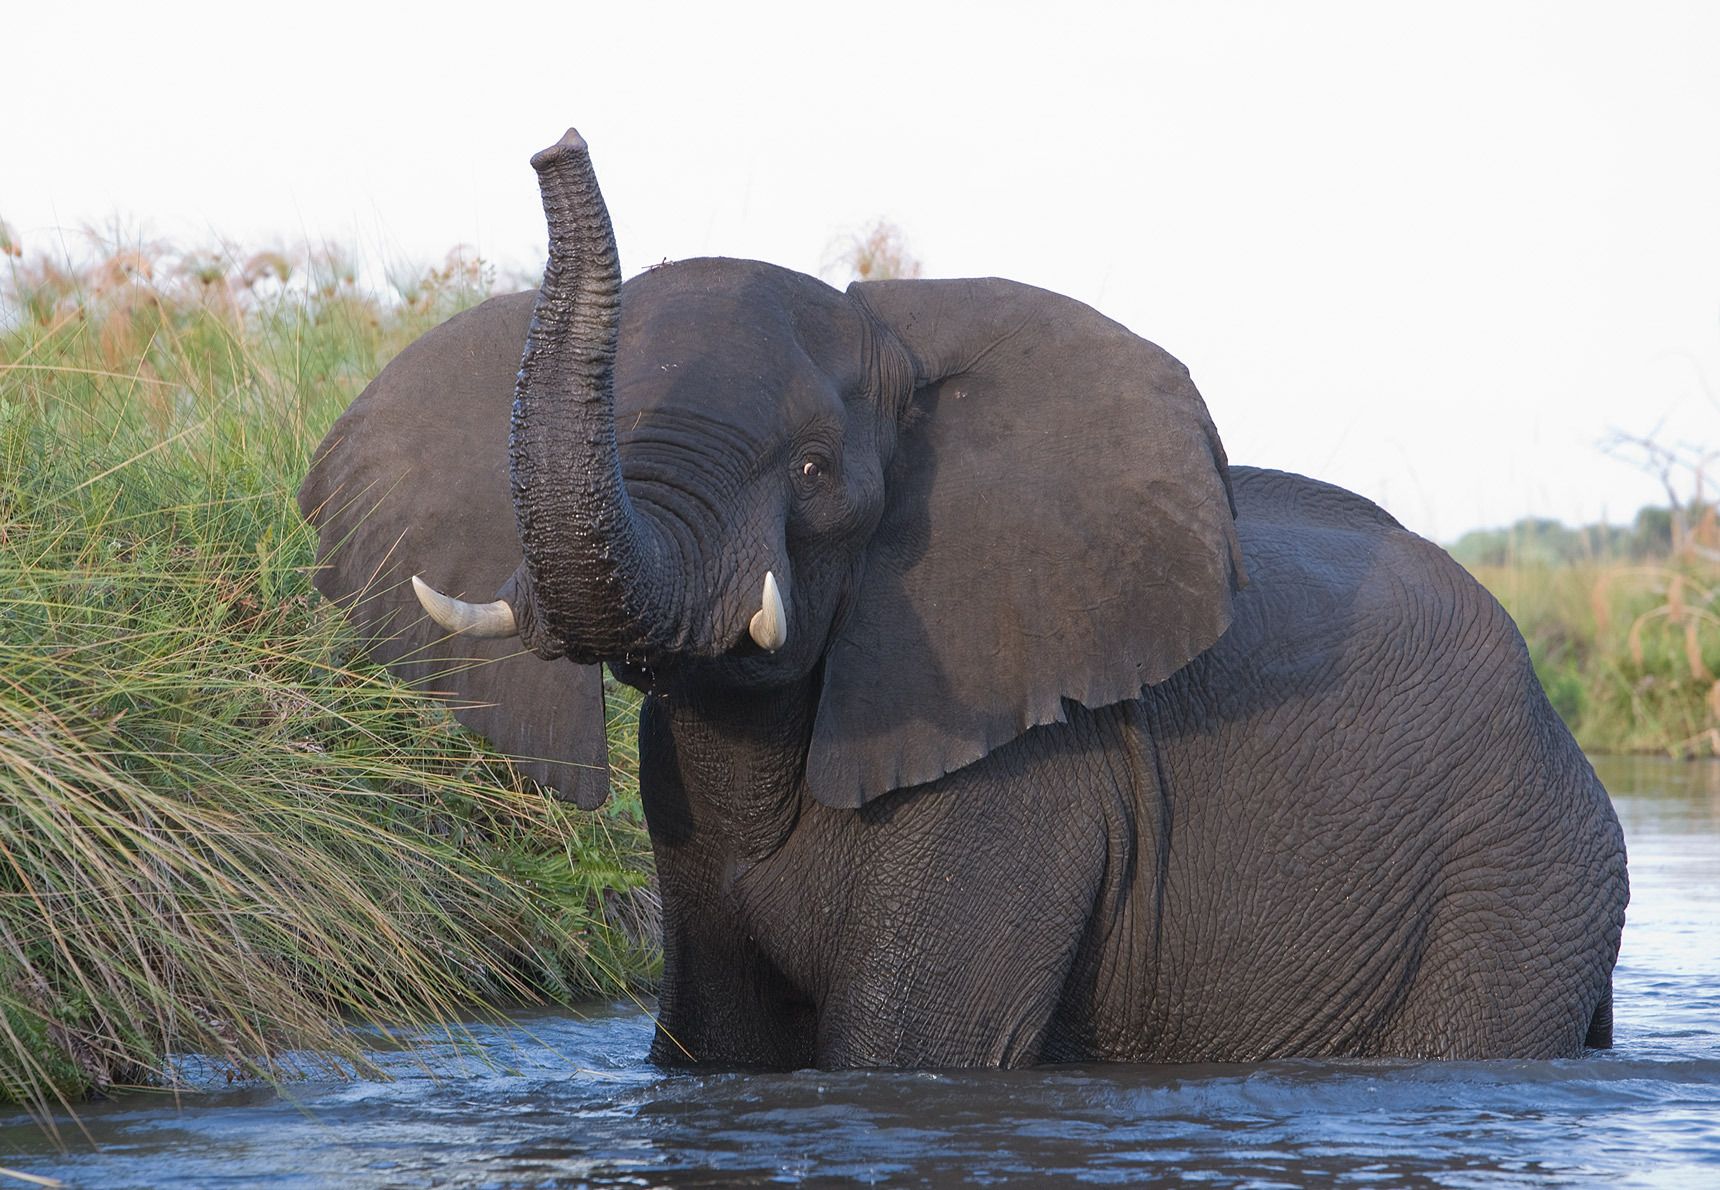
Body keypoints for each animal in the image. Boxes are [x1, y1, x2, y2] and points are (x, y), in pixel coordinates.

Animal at [298, 129, 1627, 1069]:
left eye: (816, 471)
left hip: (1515, 879)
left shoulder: (1028, 779)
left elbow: (906, 1047)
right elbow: (711, 1044)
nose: (557, 143)